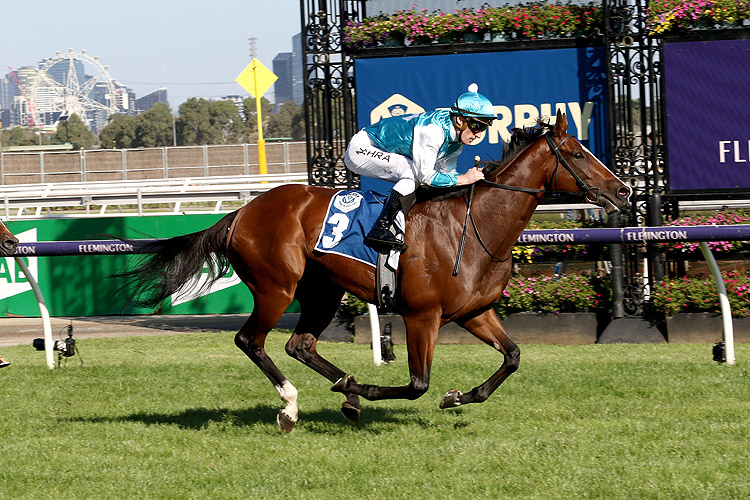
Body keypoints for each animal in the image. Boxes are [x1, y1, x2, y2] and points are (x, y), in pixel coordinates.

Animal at [119, 111, 636, 432]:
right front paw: (372, 389)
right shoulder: (422, 316)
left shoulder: (475, 312)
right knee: (252, 340)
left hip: (321, 291)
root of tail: (240, 213)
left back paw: (343, 389)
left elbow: (512, 357)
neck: (474, 226)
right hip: (276, 287)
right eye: (577, 153)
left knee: (299, 344)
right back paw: (293, 406)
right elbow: (417, 384)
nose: (624, 190)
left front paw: (457, 397)